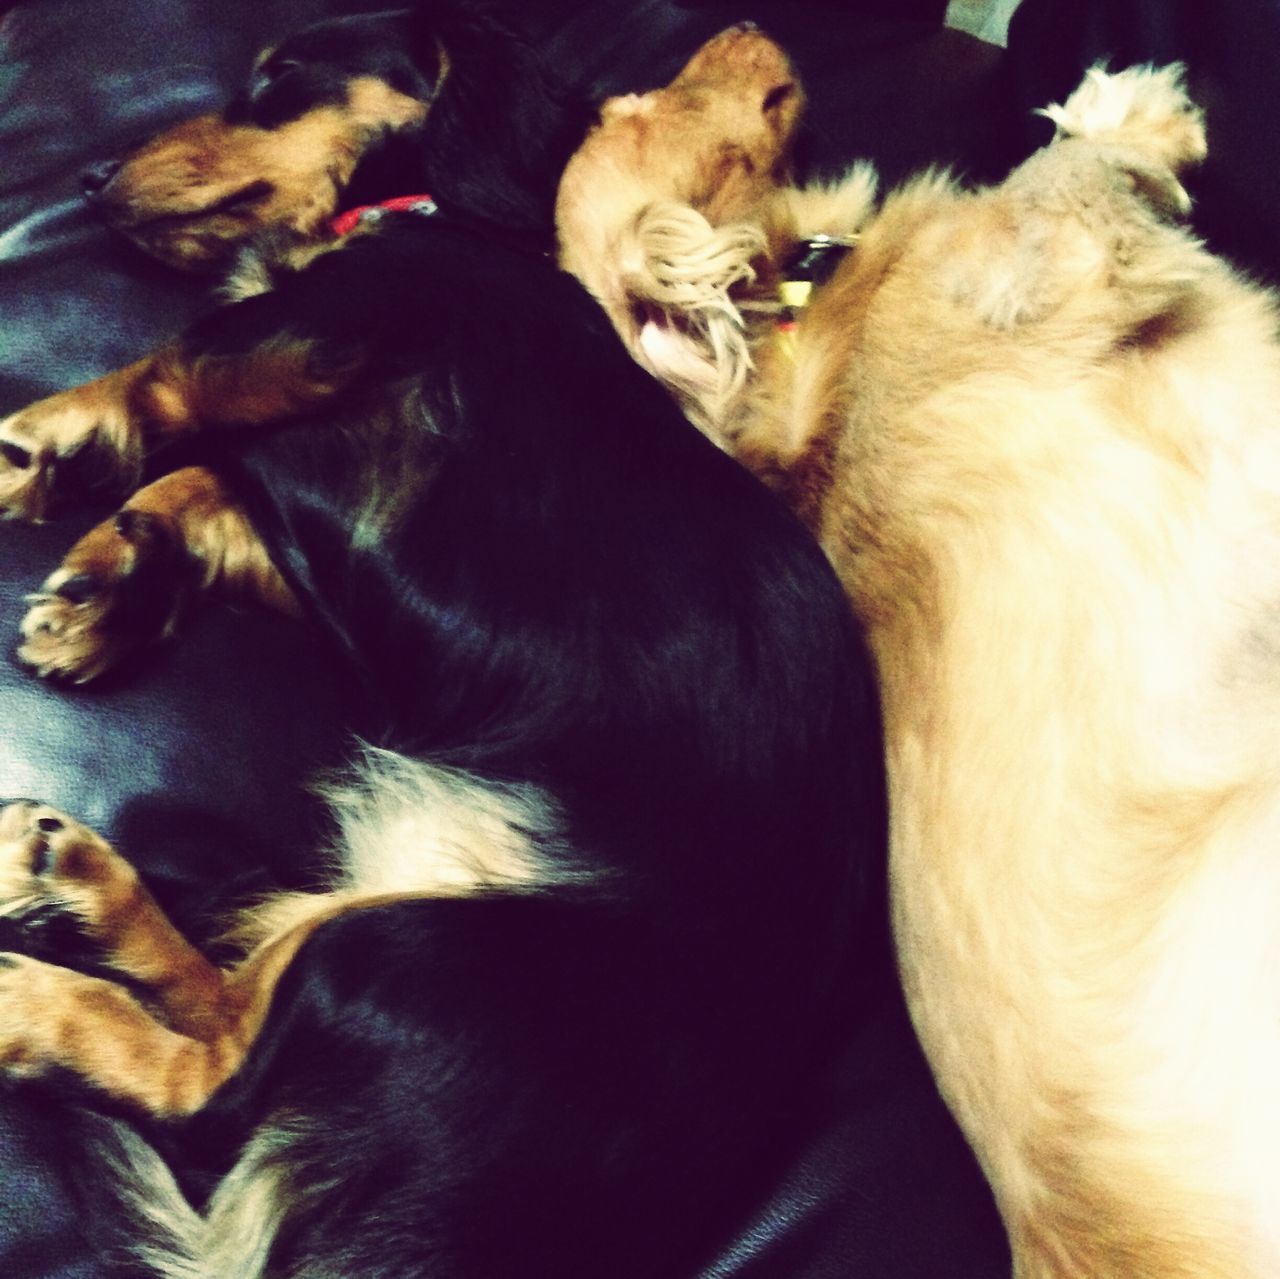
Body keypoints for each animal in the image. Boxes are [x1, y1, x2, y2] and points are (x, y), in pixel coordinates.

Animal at [0, 5, 885, 1275]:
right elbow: (198, 486)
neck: (430, 214)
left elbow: (181, 374)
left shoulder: (343, 321)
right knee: (226, 1019)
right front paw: (107, 585)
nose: (87, 178)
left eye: (276, 75)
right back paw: (74, 886)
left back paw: (34, 986)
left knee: (207, 1096)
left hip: (409, 952)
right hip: (361, 931)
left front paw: (51, 438)